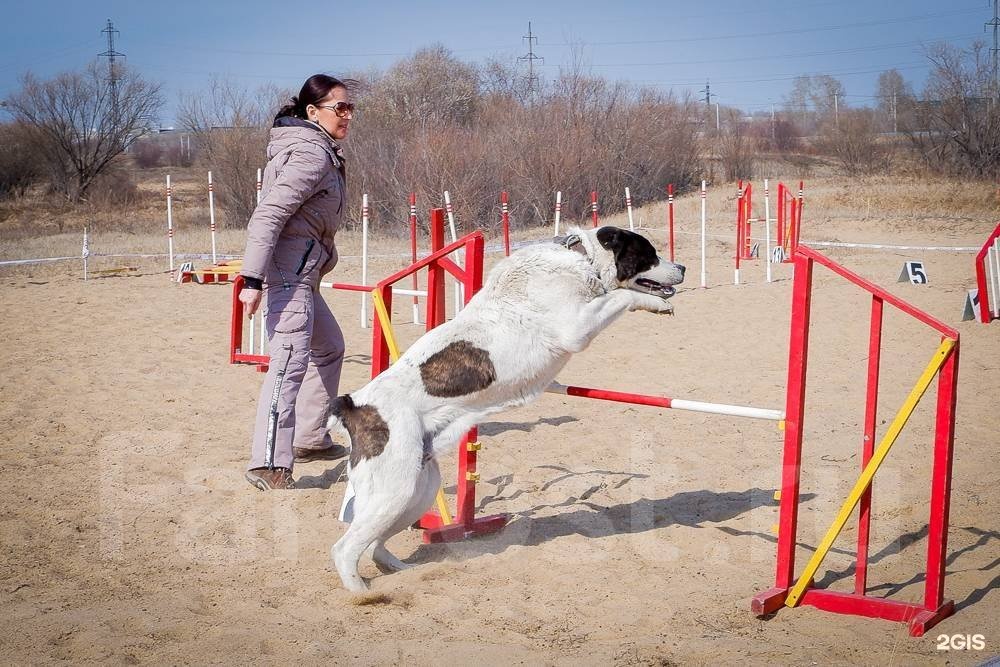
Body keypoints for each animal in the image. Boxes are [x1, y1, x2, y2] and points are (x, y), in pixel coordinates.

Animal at [324, 227, 684, 592]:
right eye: (649, 254)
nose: (682, 267)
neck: (581, 260)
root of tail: (354, 405)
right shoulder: (578, 327)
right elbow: (623, 297)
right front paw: (658, 304)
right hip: (395, 490)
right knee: (345, 548)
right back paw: (363, 593)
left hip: (417, 492)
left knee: (375, 544)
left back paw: (399, 571)